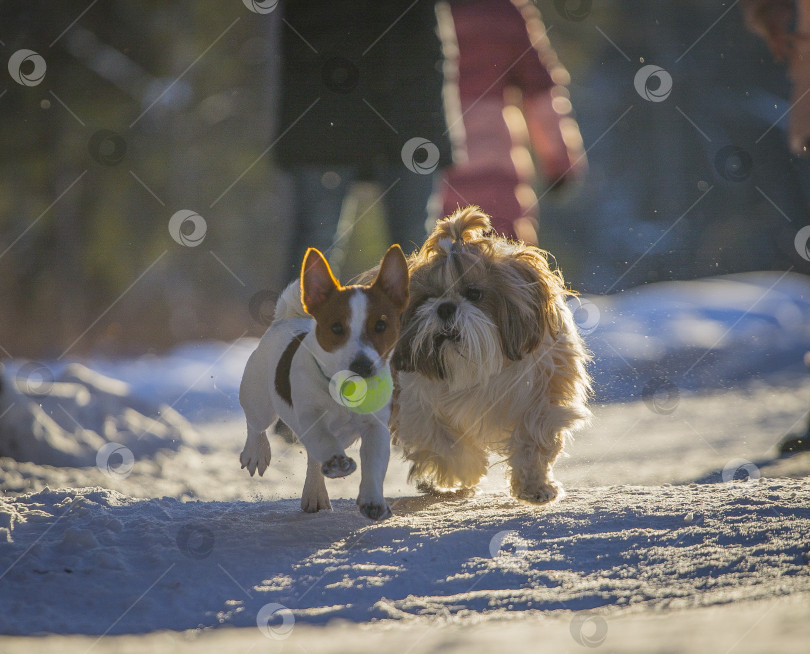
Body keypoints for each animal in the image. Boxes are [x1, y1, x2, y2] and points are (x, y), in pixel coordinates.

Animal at [388, 208, 592, 504]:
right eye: (429, 297)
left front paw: (534, 485)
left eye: (474, 293)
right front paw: (467, 471)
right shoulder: (416, 406)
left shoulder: (544, 392)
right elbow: (444, 441)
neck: (475, 363)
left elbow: (533, 437)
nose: (445, 307)